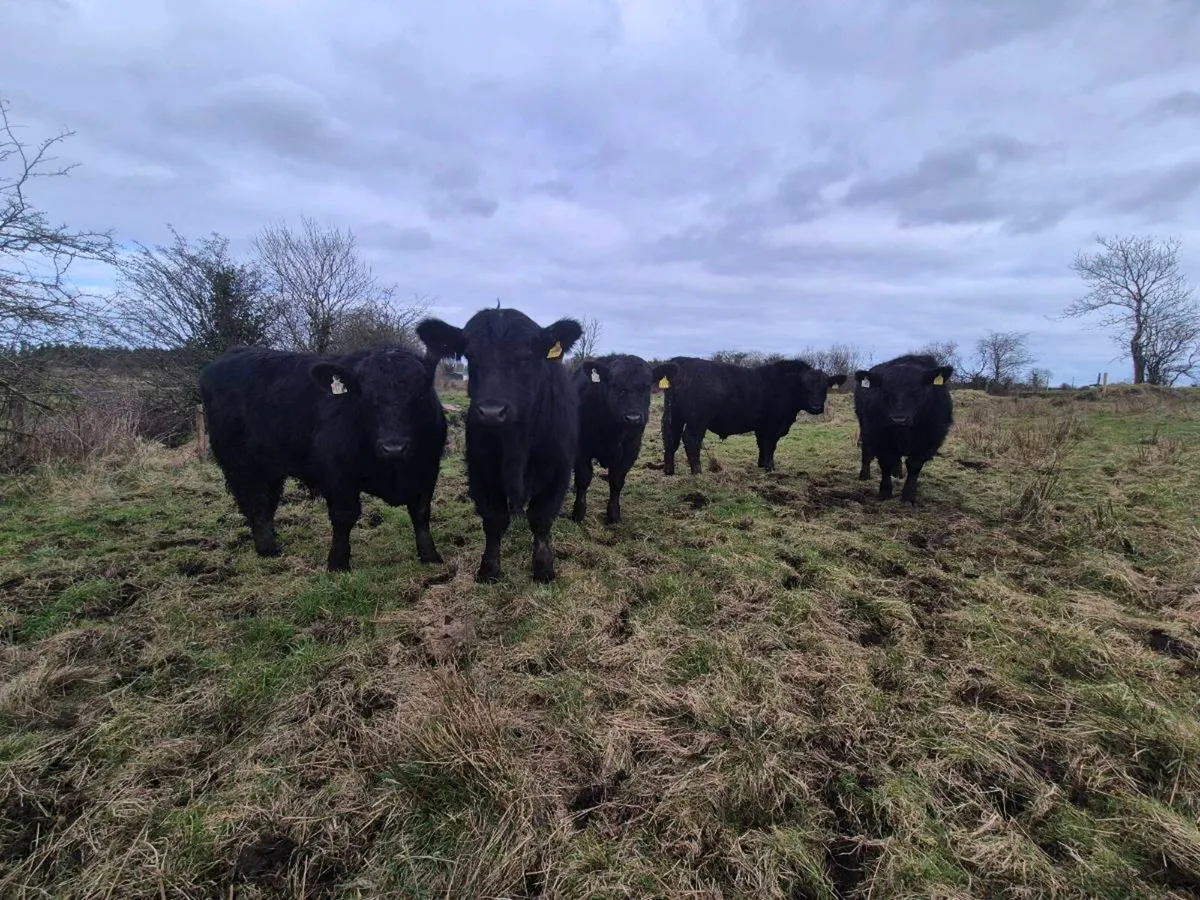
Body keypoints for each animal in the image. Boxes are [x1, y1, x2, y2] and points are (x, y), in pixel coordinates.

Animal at [198, 345, 446, 572]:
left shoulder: (428, 468)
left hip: (271, 466)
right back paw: (267, 548)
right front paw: (338, 563)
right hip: (240, 463)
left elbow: (421, 512)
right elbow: (344, 515)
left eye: (420, 395)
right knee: (255, 501)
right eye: (364, 396)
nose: (393, 447)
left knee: (268, 500)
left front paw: (430, 555)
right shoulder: (338, 474)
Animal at [416, 307, 582, 583]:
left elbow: (541, 519)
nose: (491, 412)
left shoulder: (558, 471)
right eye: (471, 356)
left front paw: (543, 569)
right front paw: (489, 569)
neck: (517, 444)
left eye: (526, 357)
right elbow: (494, 520)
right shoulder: (481, 471)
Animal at [571, 354, 670, 525]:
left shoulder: (631, 449)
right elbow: (583, 478)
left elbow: (617, 480)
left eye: (646, 386)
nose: (633, 418)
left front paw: (614, 515)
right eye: (615, 384)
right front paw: (578, 513)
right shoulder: (581, 449)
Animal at [654, 356, 847, 475]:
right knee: (691, 439)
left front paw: (761, 464)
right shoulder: (773, 425)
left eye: (824, 387)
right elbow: (770, 445)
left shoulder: (762, 426)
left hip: (673, 416)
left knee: (670, 439)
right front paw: (770, 468)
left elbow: (762, 445)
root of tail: (680, 362)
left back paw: (669, 471)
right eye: (805, 386)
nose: (816, 407)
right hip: (697, 419)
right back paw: (697, 472)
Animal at [853, 354, 953, 504]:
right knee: (867, 451)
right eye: (885, 390)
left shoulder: (929, 440)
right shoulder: (878, 436)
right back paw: (865, 475)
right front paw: (885, 491)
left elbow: (914, 465)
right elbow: (885, 462)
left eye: (917, 390)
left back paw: (898, 473)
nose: (898, 419)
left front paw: (909, 495)